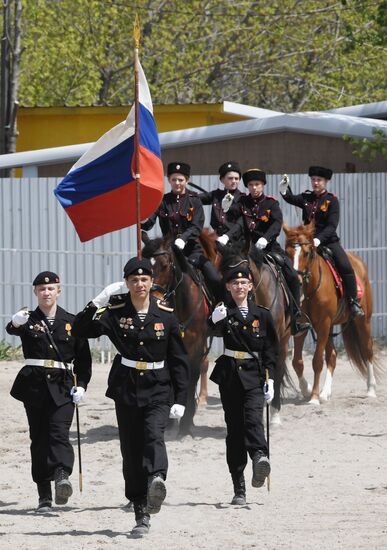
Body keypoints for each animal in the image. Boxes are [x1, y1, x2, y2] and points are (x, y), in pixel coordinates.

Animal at [142, 235, 212, 438]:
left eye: (165, 265)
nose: (154, 299)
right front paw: (168, 420)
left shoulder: (196, 347)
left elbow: (191, 378)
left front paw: (185, 424)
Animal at [220, 246, 292, 426]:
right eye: (223, 272)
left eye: (244, 270)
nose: (229, 302)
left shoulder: (275, 342)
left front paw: (273, 414)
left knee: (279, 369)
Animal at [284, 222, 378, 408]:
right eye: (287, 252)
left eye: (307, 252)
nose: (296, 281)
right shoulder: (302, 326)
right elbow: (297, 362)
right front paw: (307, 390)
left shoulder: (322, 325)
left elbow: (317, 361)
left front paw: (313, 398)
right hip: (331, 327)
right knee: (333, 356)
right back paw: (325, 393)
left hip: (363, 321)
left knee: (367, 350)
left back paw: (371, 390)